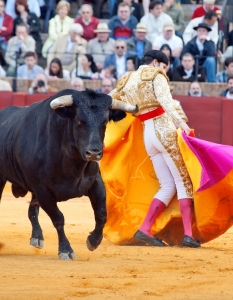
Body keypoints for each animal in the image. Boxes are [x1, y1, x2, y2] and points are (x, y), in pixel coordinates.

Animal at [0, 88, 138, 258]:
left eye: (105, 122)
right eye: (79, 120)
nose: (94, 153)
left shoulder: (96, 183)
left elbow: (101, 213)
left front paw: (93, 241)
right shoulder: (43, 190)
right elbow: (58, 218)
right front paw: (66, 250)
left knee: (32, 209)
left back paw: (37, 237)